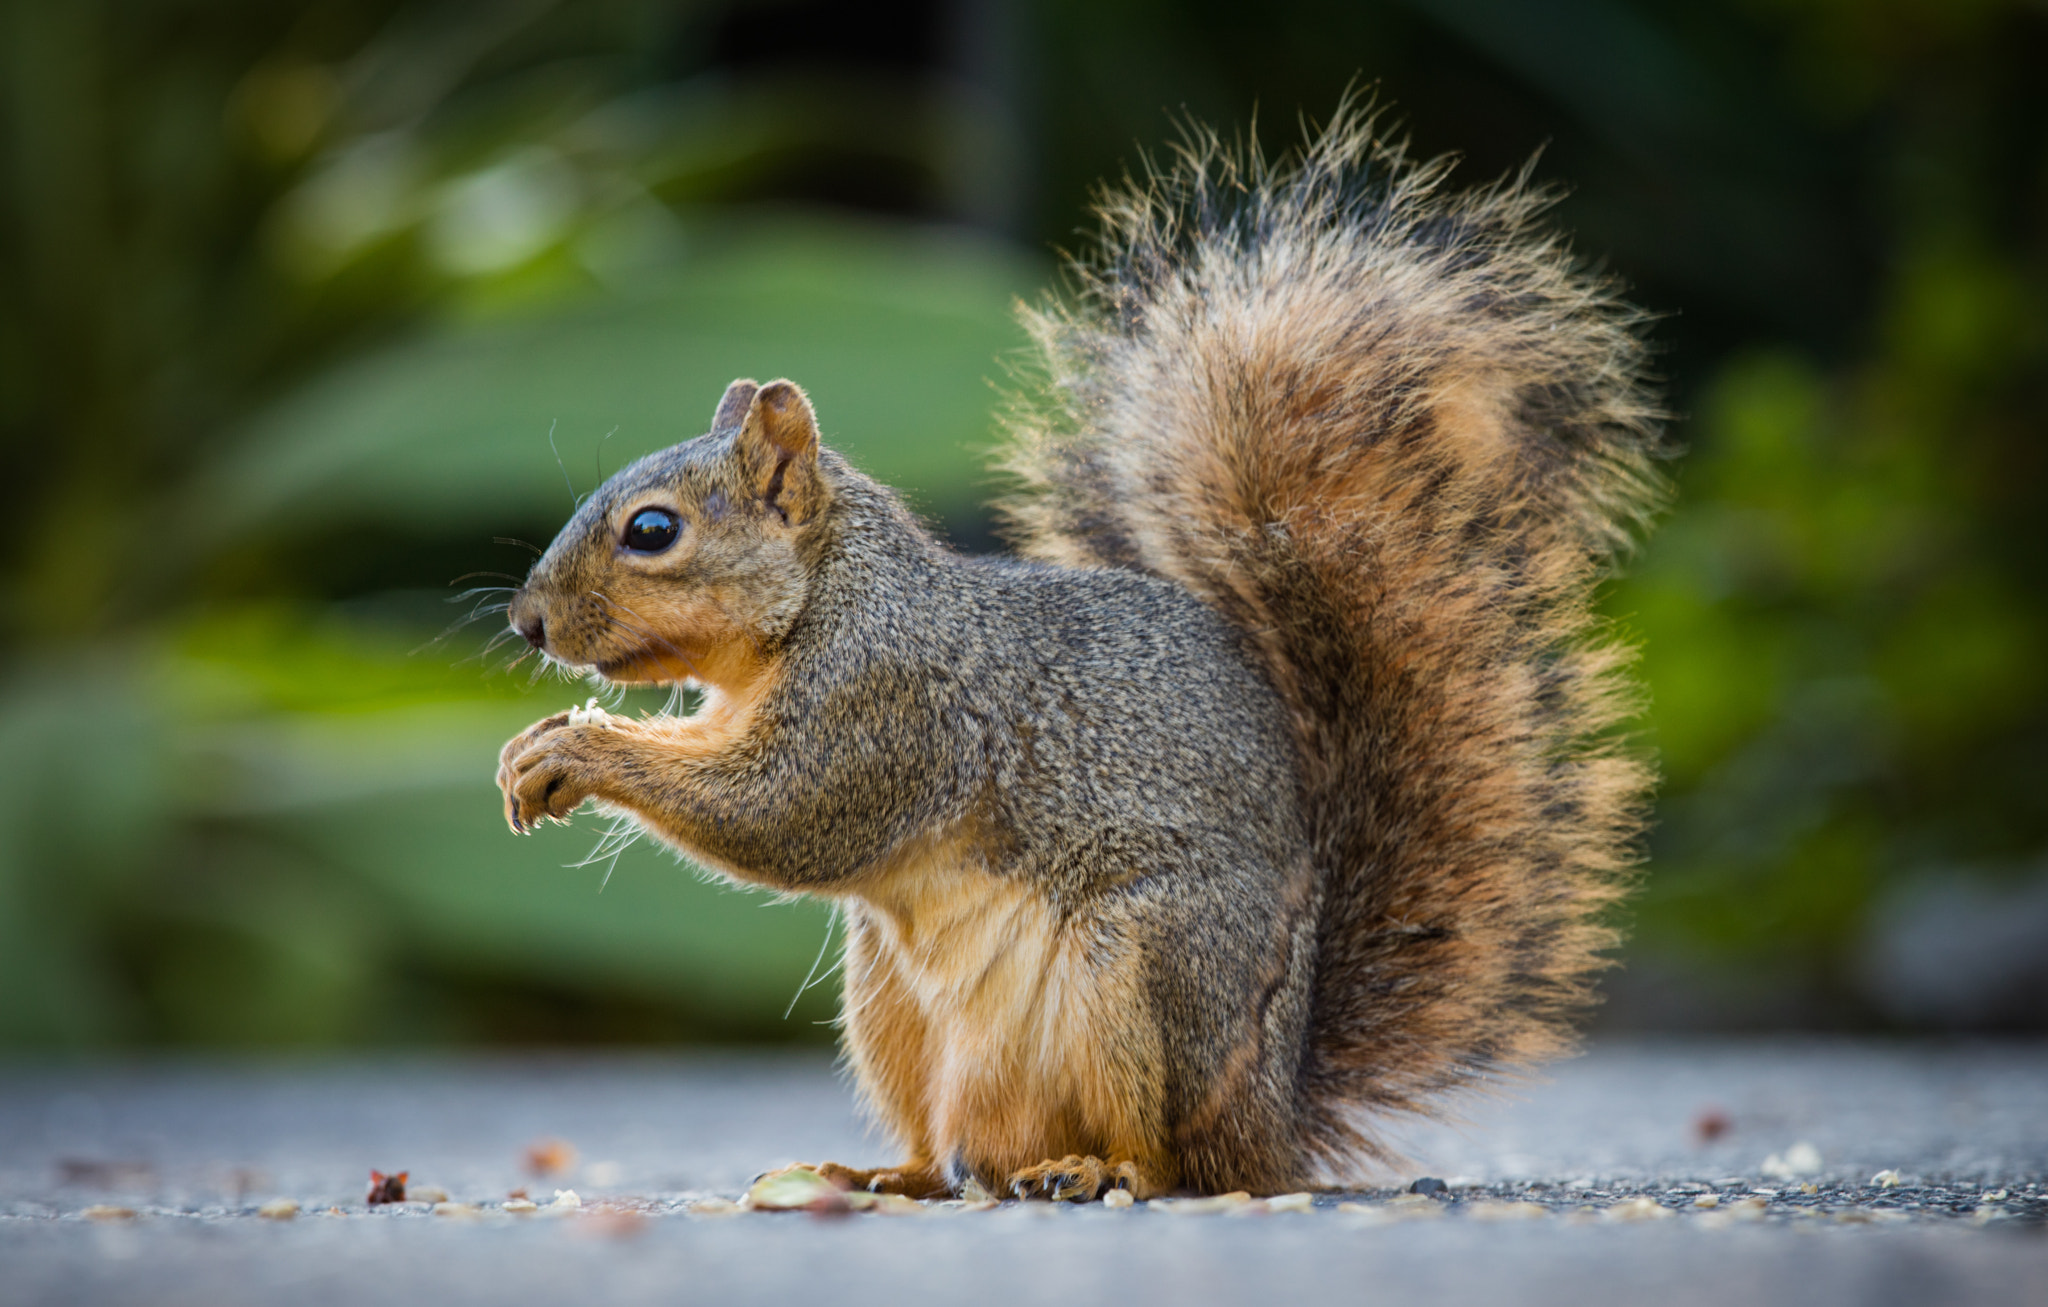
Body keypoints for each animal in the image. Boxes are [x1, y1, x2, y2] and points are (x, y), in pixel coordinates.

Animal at [491, 107, 1662, 1204]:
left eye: (652, 530)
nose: (527, 623)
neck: (821, 606)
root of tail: (1271, 1119)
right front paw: (536, 746)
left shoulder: (892, 700)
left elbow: (788, 811)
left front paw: (575, 751)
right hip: (890, 1001)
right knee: (949, 1151)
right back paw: (883, 1174)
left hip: (1145, 971)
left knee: (1167, 1154)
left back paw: (1101, 1169)